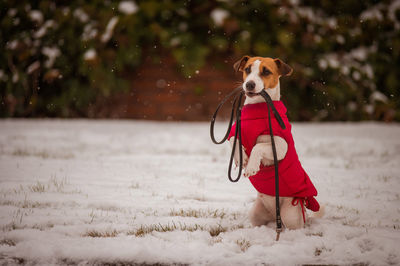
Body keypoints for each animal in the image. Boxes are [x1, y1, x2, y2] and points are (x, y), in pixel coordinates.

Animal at [230, 55, 320, 229]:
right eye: (247, 69)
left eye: (266, 72)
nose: (249, 84)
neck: (257, 109)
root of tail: (274, 215)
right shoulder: (236, 130)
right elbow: (234, 141)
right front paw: (241, 158)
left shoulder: (280, 146)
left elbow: (258, 146)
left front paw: (251, 166)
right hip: (256, 213)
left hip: (290, 214)